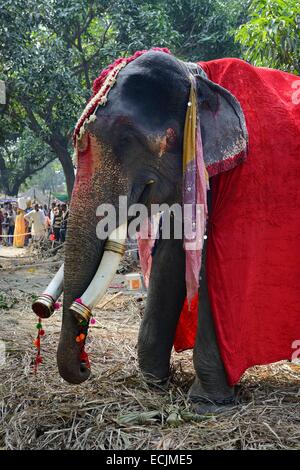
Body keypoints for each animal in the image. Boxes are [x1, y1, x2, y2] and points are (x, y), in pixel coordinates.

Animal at [32, 49, 251, 414]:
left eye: (127, 140)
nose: (85, 367)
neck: (198, 74)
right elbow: (171, 257)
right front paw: (152, 384)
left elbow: (213, 260)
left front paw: (208, 403)